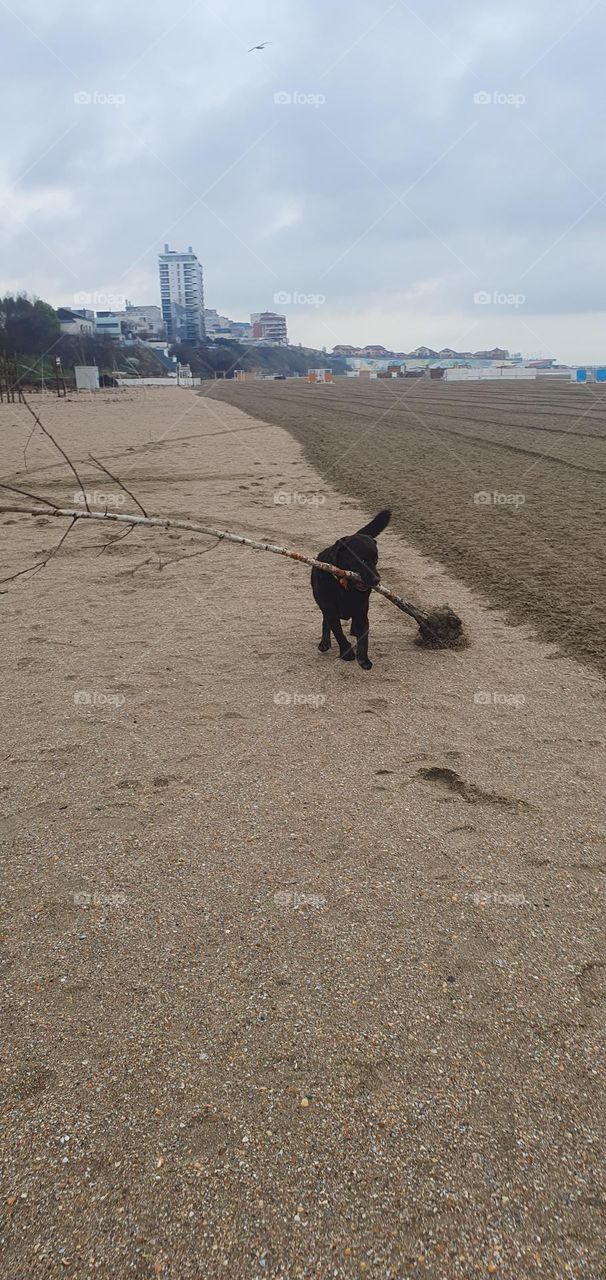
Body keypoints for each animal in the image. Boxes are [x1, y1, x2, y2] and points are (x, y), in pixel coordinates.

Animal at [310, 509, 389, 670]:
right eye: (362, 560)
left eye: (376, 560)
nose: (377, 580)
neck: (344, 587)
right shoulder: (330, 609)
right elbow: (338, 632)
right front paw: (347, 653)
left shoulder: (362, 611)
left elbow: (364, 638)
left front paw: (364, 659)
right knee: (325, 621)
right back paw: (325, 642)